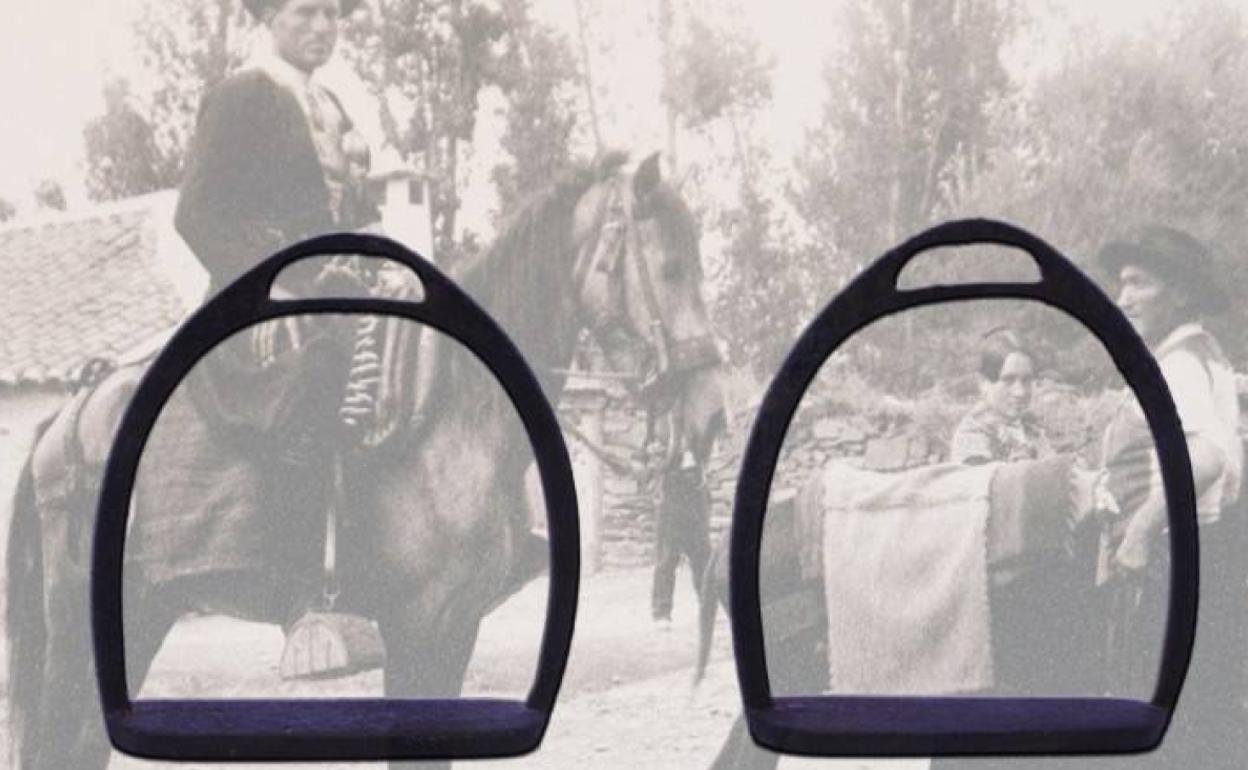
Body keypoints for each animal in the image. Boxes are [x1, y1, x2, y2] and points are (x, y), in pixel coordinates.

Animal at [6, 150, 727, 770]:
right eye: (670, 268)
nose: (712, 415)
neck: (459, 401)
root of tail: (64, 420)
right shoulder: (419, 626)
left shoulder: (456, 627)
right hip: (76, 630)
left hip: (141, 615)